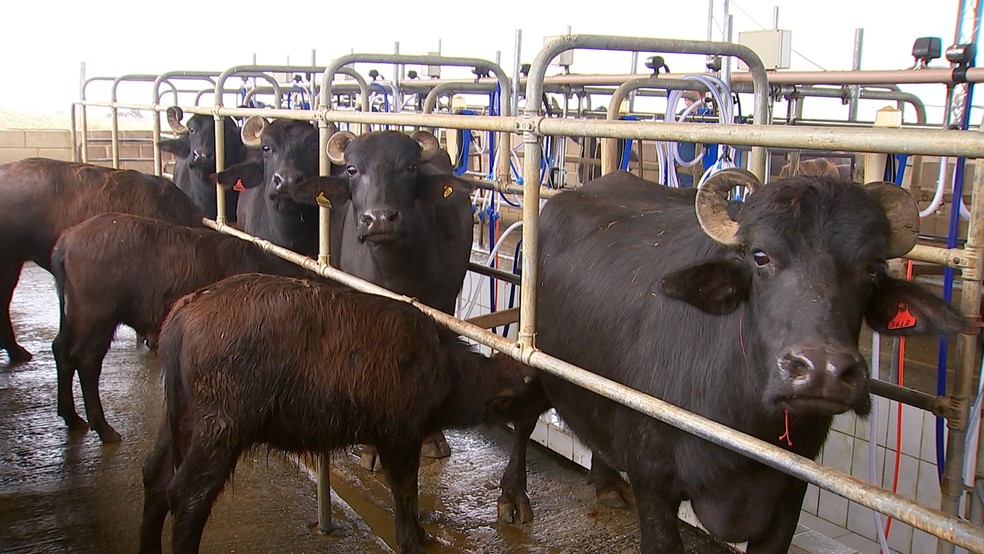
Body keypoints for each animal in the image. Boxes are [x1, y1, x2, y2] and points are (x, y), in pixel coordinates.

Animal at [50, 211, 320, 440]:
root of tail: (66, 240)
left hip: (71, 313)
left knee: (62, 350)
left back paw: (73, 417)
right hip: (97, 316)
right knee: (87, 359)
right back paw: (104, 429)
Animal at [139, 272, 540, 552]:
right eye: (527, 392)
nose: (542, 402)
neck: (440, 366)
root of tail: (183, 314)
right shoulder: (399, 436)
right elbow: (405, 491)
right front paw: (412, 538)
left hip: (178, 419)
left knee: (154, 477)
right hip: (219, 430)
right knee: (187, 495)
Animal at [500, 169, 960, 552]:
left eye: (873, 266)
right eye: (760, 256)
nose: (822, 371)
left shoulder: (790, 494)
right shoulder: (653, 482)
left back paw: (607, 482)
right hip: (533, 361)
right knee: (523, 420)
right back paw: (512, 497)